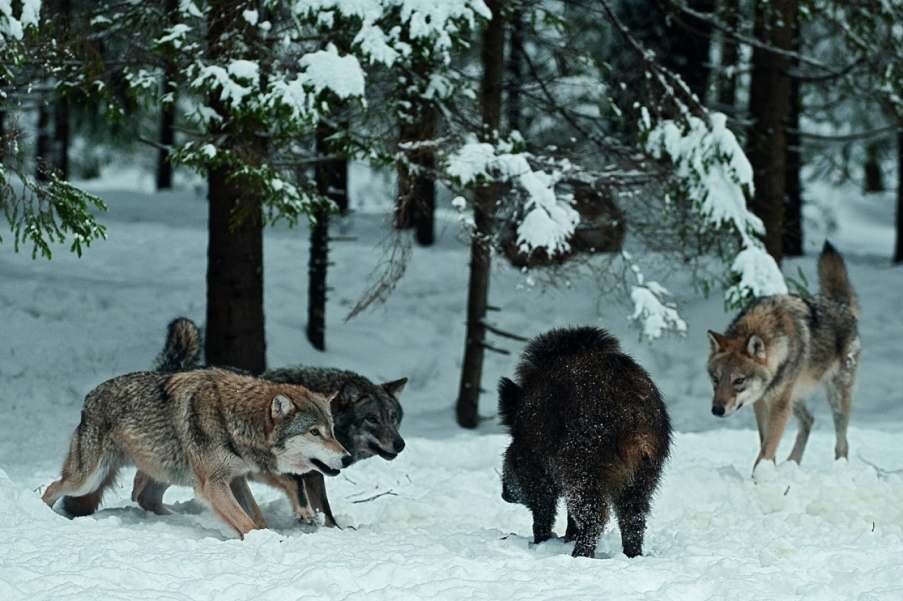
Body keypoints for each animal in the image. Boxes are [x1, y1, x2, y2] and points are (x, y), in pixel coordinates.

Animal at [44, 368, 352, 536]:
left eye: (332, 431)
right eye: (314, 432)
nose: (347, 458)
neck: (234, 420)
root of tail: (89, 398)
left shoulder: (235, 479)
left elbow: (256, 518)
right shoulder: (214, 484)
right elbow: (249, 523)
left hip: (170, 471)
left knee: (145, 498)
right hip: (87, 480)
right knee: (50, 489)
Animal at [502, 328, 672, 556]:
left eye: (511, 442)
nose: (504, 494)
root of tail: (635, 413)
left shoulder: (538, 471)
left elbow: (543, 508)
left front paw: (541, 542)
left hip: (583, 466)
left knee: (594, 516)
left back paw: (578, 556)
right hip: (645, 473)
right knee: (633, 518)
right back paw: (632, 555)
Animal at [708, 240, 860, 468]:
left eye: (739, 380)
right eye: (716, 379)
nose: (716, 410)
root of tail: (840, 304)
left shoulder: (779, 405)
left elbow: (766, 449)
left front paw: (759, 474)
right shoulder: (762, 403)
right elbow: (766, 444)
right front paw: (769, 470)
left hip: (834, 396)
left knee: (842, 442)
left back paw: (839, 467)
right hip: (794, 398)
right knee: (809, 420)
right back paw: (792, 464)